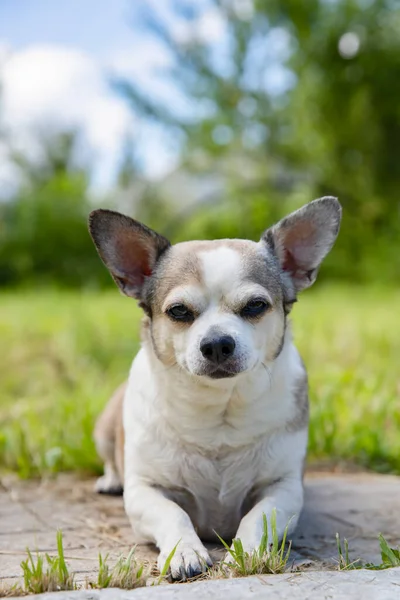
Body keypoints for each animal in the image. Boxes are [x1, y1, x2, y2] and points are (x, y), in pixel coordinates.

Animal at [89, 198, 342, 580]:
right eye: (179, 311)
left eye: (255, 306)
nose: (217, 343)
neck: (219, 408)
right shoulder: (145, 492)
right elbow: (174, 513)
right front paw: (184, 552)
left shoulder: (284, 489)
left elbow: (258, 516)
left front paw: (246, 552)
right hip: (104, 429)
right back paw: (108, 480)